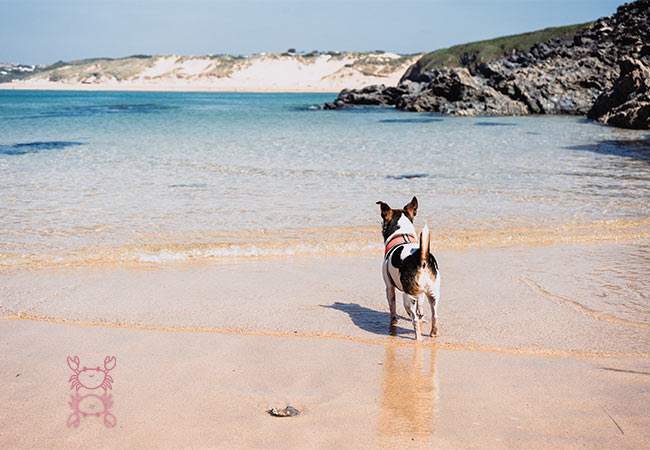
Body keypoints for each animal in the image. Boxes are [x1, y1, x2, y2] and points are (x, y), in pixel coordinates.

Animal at [378, 197, 438, 342]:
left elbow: (392, 308)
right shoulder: (420, 293)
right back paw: (433, 333)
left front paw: (393, 322)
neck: (403, 235)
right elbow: (421, 309)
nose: (380, 224)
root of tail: (422, 258)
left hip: (408, 298)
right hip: (433, 294)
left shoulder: (389, 287)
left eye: (383, 220)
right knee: (434, 315)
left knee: (414, 319)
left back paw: (419, 338)